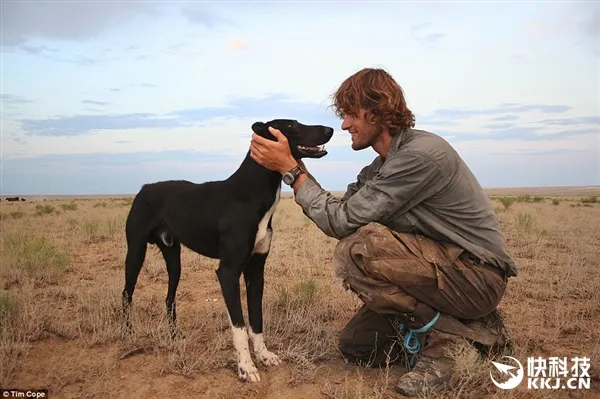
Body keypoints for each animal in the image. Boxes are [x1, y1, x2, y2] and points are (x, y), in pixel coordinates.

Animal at [123, 119, 332, 384]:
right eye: (291, 125)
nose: (330, 130)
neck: (249, 193)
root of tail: (144, 188)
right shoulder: (228, 271)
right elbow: (239, 325)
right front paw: (246, 367)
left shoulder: (256, 271)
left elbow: (256, 319)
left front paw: (263, 356)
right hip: (135, 252)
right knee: (126, 295)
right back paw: (128, 333)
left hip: (174, 258)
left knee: (169, 298)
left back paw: (175, 337)